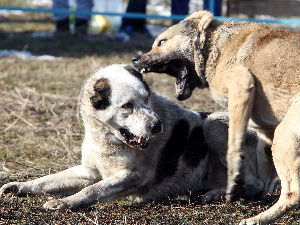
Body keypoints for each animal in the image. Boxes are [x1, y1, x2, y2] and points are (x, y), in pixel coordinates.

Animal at [0, 64, 276, 210]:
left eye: (147, 99)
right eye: (127, 106)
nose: (157, 126)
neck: (107, 138)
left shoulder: (133, 175)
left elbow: (92, 190)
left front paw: (65, 203)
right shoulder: (87, 170)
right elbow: (47, 181)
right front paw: (20, 186)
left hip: (213, 123)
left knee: (254, 185)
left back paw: (217, 194)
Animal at [133, 10, 300, 223]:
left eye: (161, 42)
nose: (135, 59)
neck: (214, 47)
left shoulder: (241, 85)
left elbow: (234, 145)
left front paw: (234, 176)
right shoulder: (265, 133)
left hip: (284, 136)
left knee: (292, 193)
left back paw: (257, 218)